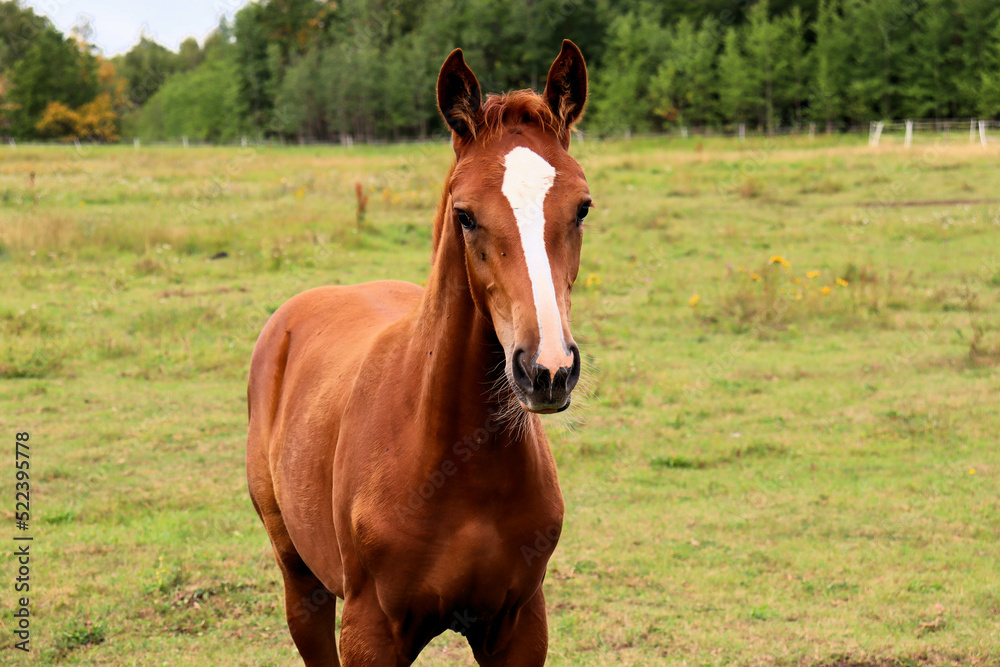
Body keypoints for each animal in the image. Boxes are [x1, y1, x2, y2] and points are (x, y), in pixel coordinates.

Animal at [249, 40, 588, 664]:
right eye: (465, 214)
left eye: (581, 207)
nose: (548, 370)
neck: (457, 464)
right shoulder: (370, 633)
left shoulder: (521, 625)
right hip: (300, 579)